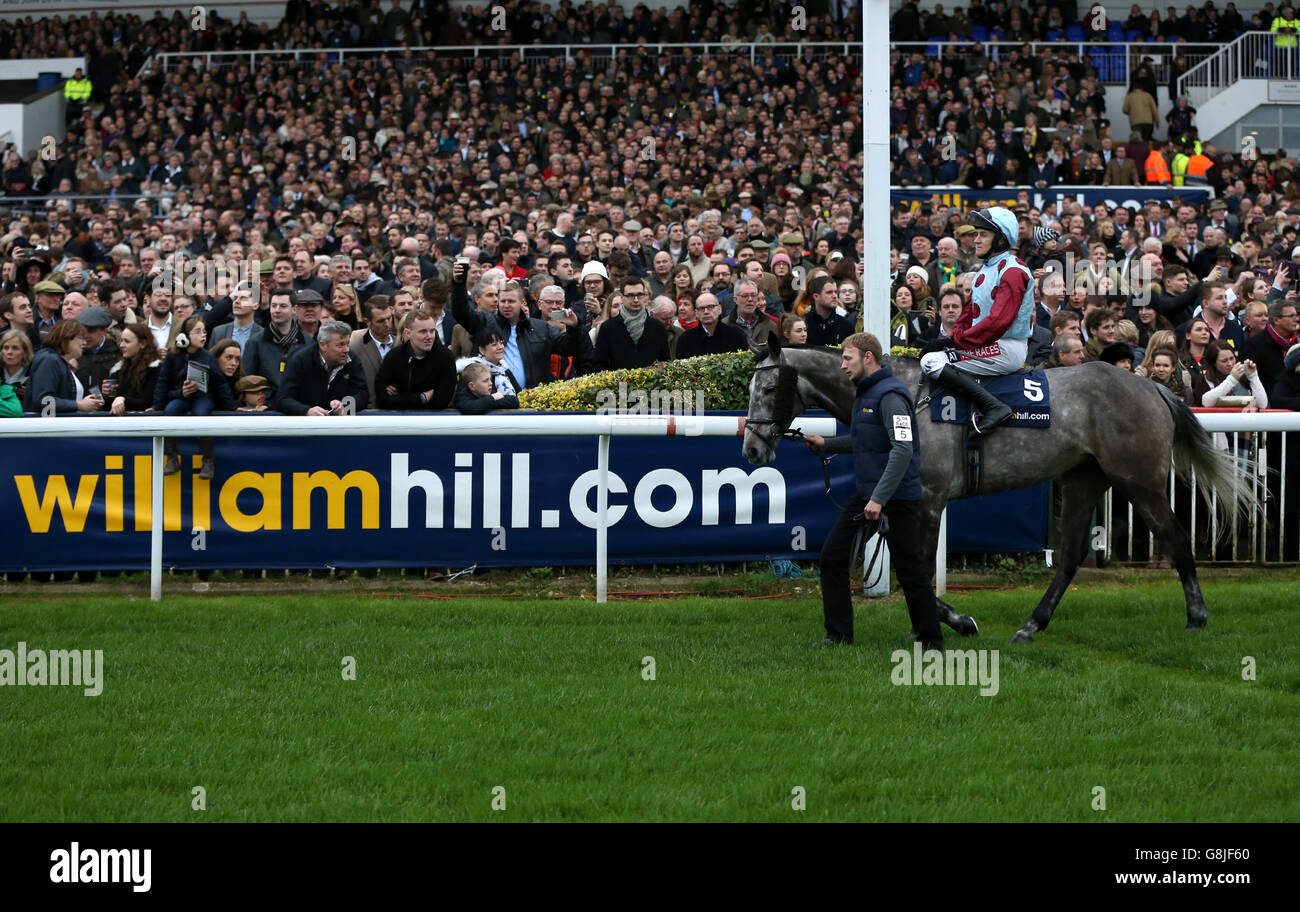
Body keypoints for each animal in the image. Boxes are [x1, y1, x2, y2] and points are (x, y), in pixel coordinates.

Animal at [743, 340, 1258, 646]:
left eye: (767, 388)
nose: (750, 447)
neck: (904, 395)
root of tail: (1152, 387)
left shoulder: (927, 500)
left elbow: (917, 570)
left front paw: (947, 625)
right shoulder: (897, 504)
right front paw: (945, 622)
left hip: (1139, 480)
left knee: (1176, 539)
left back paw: (1196, 617)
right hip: (1083, 478)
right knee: (1071, 554)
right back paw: (1032, 625)